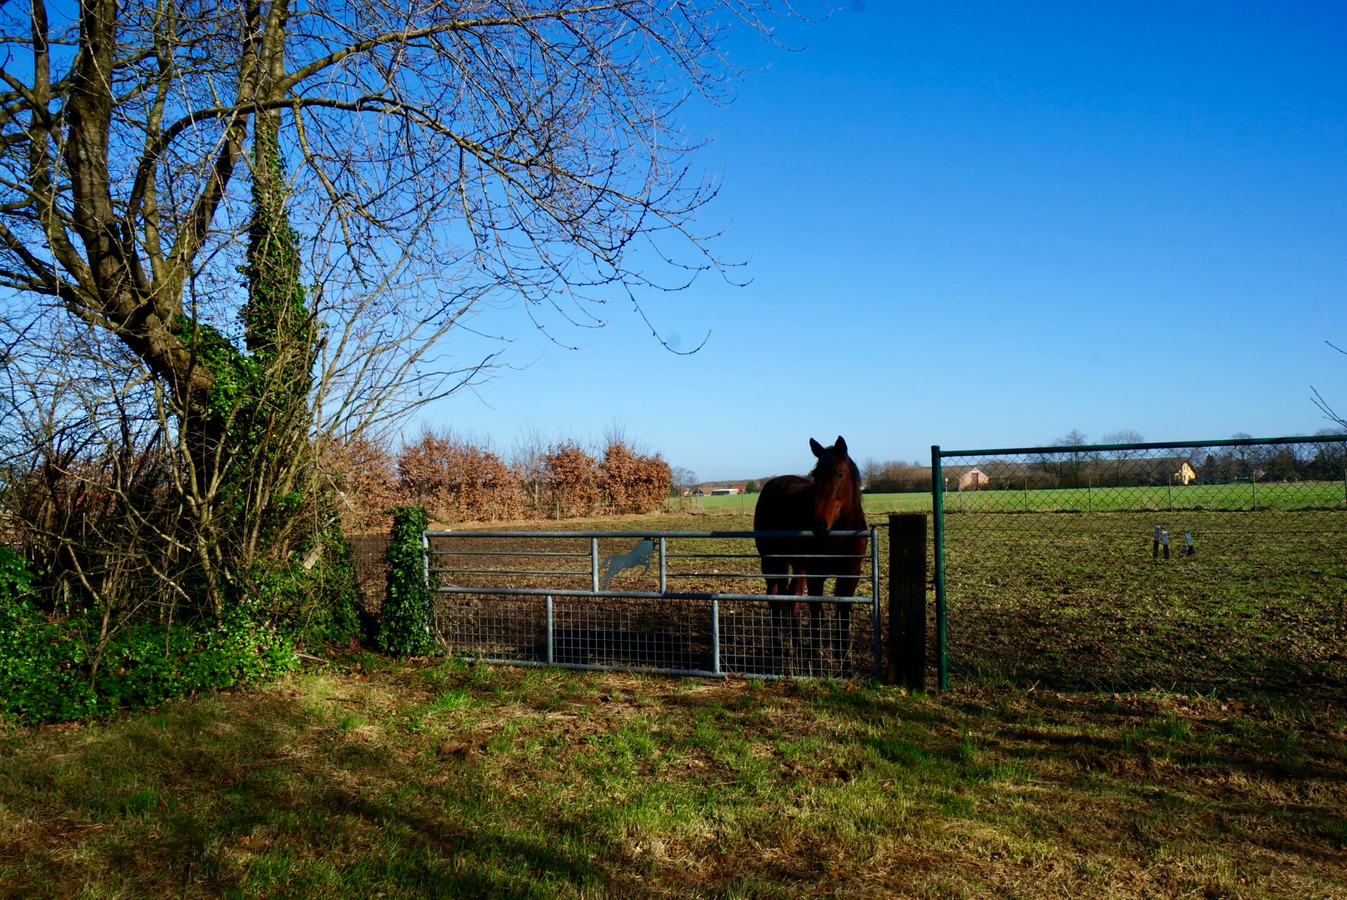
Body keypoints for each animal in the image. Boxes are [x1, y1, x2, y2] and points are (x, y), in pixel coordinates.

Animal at [754, 436, 867, 673]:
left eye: (840, 474)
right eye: (815, 475)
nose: (819, 524)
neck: (840, 534)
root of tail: (771, 484)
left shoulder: (850, 575)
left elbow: (843, 614)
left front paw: (845, 663)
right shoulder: (817, 574)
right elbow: (816, 613)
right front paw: (816, 661)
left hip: (799, 565)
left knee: (792, 599)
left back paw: (797, 649)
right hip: (771, 562)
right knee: (775, 597)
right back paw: (778, 649)